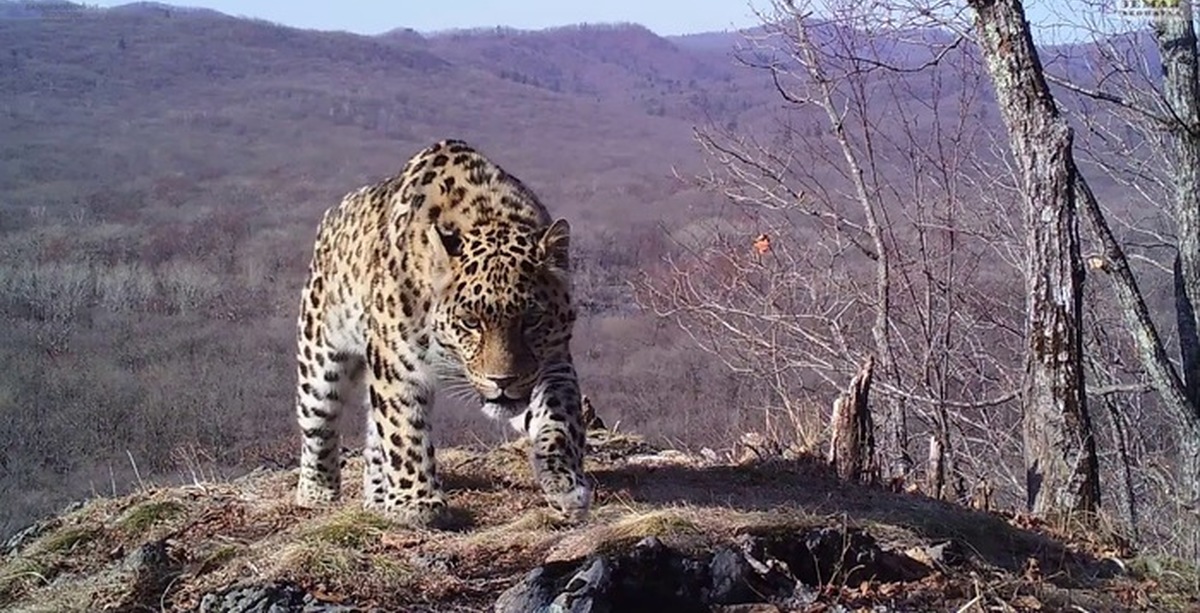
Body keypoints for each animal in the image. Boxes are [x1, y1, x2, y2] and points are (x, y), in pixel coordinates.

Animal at [290, 139, 590, 527]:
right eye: (470, 322)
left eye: (532, 320)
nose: (502, 381)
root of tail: (333, 214)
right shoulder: (396, 364)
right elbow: (403, 430)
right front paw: (416, 502)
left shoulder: (553, 361)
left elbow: (560, 419)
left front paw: (566, 484)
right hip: (319, 357)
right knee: (319, 425)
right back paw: (317, 493)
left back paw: (377, 495)